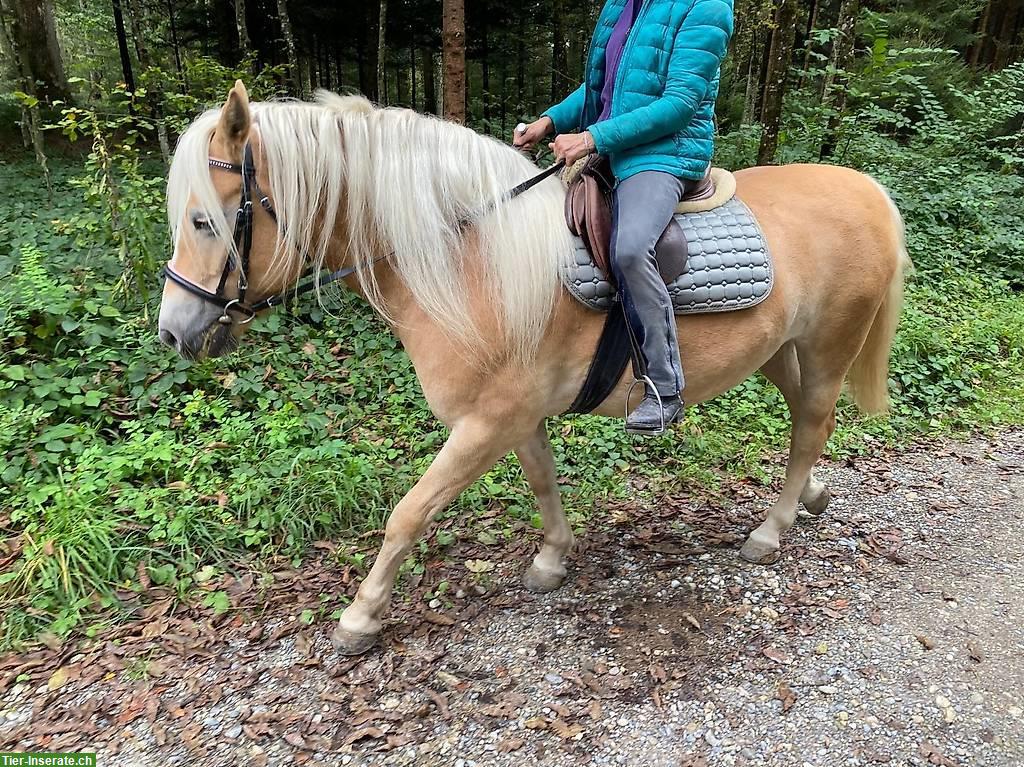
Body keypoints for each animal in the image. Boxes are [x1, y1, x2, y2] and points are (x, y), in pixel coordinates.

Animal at [155, 82, 909, 651]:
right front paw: (551, 559)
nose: (173, 330)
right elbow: (543, 481)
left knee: (811, 426)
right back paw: (811, 497)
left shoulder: (485, 423)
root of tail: (867, 189)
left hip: (829, 345)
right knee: (804, 419)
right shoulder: (514, 416)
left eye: (203, 221)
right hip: (780, 349)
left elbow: (408, 513)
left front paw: (361, 615)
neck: (467, 261)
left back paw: (771, 530)